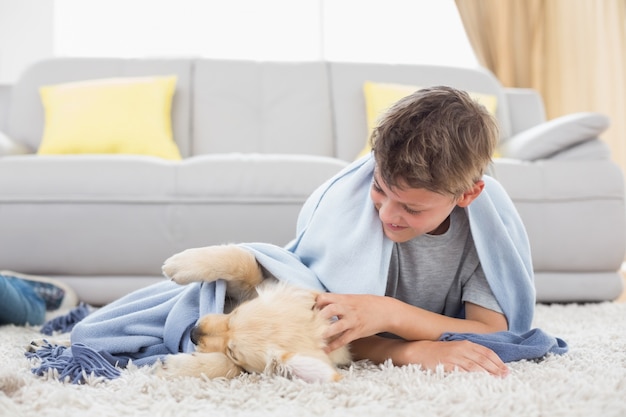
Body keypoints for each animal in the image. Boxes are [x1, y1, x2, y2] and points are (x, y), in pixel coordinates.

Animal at [156, 242, 352, 382]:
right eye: (235, 314)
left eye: (233, 353)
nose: (193, 333)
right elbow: (245, 264)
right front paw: (181, 264)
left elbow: (231, 367)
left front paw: (175, 367)